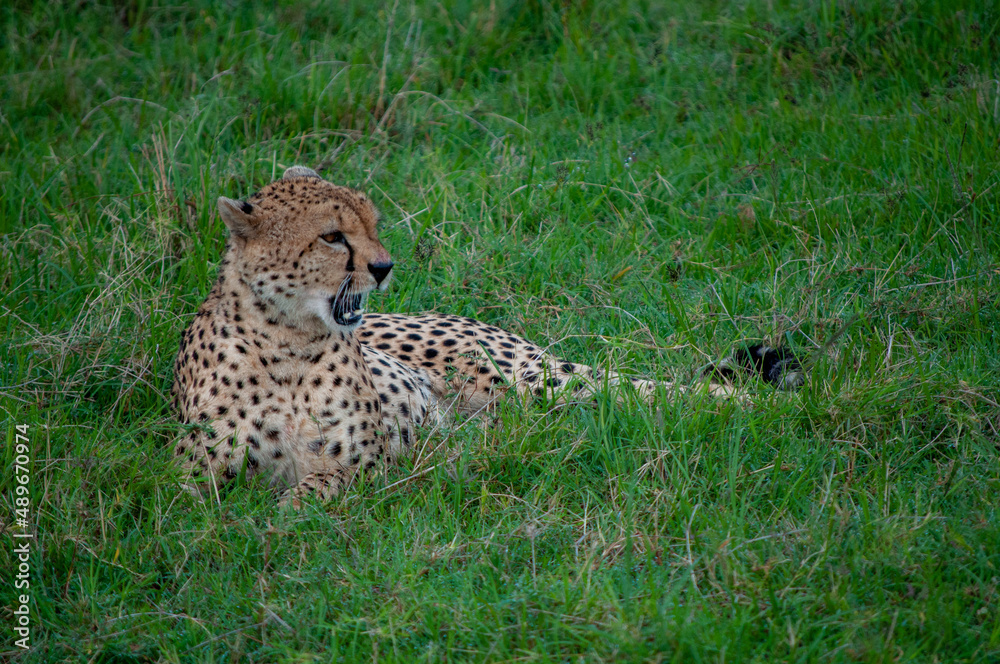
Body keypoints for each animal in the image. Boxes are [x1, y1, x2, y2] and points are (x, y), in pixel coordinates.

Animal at [172, 166, 802, 506]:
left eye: (372, 223)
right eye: (331, 236)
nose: (383, 267)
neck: (288, 345)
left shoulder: (362, 467)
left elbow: (309, 494)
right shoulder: (186, 478)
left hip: (532, 380)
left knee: (651, 391)